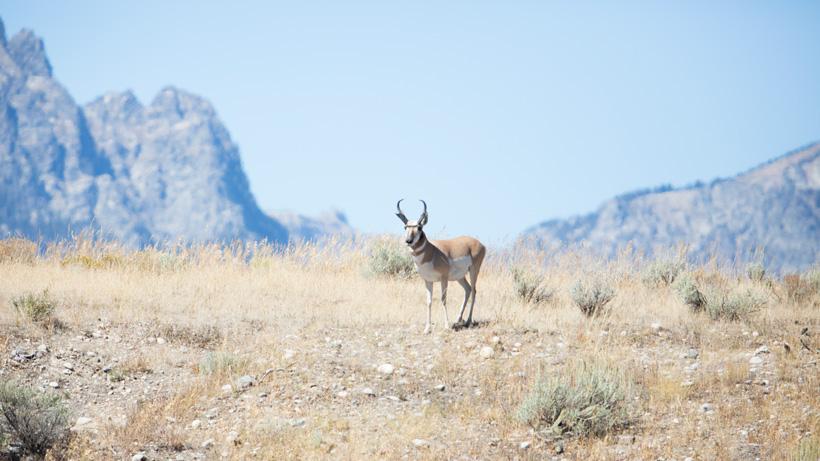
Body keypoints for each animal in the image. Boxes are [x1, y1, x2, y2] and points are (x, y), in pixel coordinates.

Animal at [396, 199, 486, 334]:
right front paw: (427, 329)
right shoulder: (428, 281)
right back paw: (458, 319)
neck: (431, 251)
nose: (408, 241)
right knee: (468, 289)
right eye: (405, 227)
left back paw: (468, 321)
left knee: (474, 290)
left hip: (473, 271)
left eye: (419, 227)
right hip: (460, 277)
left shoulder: (444, 278)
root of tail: (479, 244)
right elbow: (429, 302)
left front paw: (446, 326)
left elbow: (443, 299)